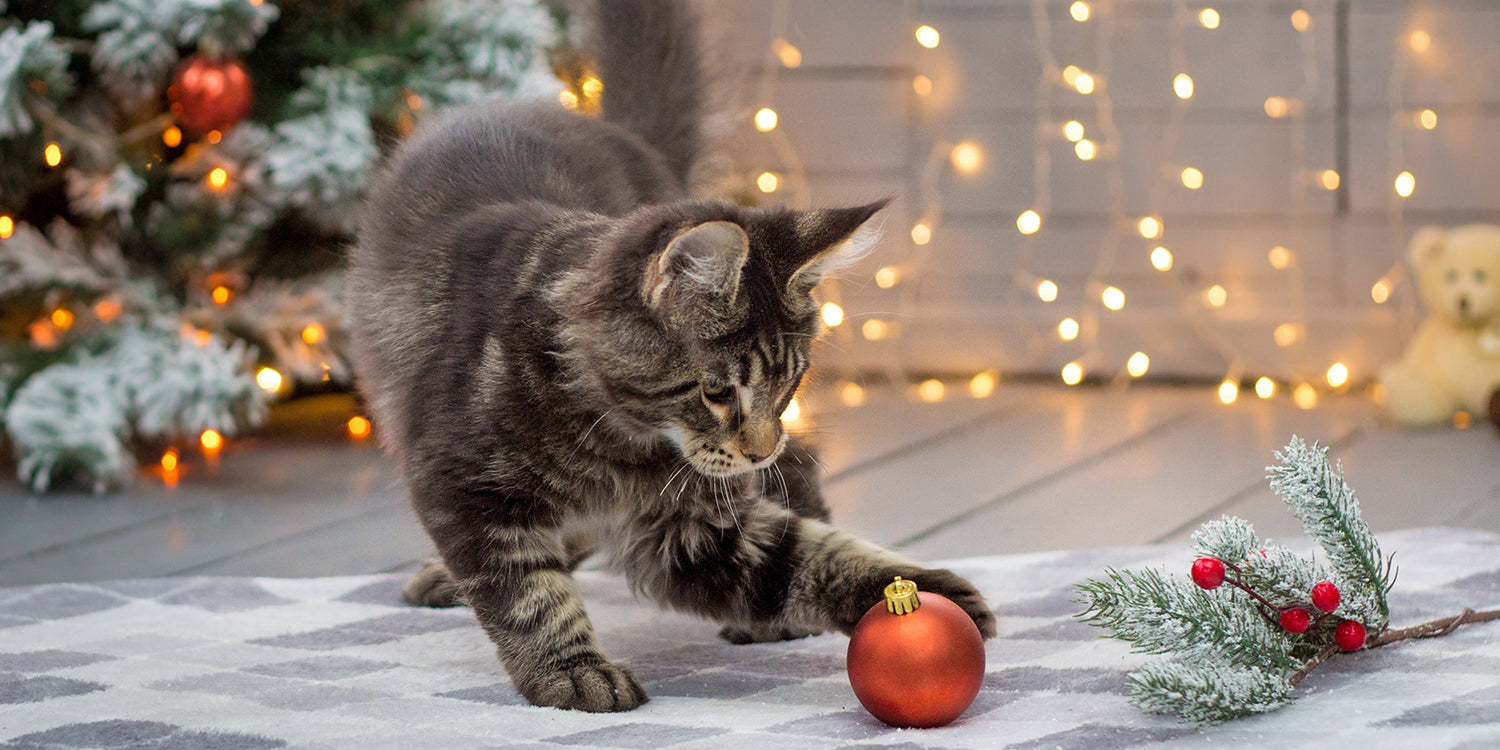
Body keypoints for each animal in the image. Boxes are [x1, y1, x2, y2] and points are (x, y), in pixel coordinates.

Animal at [345, 0, 990, 714]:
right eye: (717, 391)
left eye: (789, 383)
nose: (758, 447)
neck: (614, 445)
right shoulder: (464, 488)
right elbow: (530, 593)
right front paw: (573, 672)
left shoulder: (688, 525)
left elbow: (804, 555)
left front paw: (915, 592)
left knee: (802, 465)